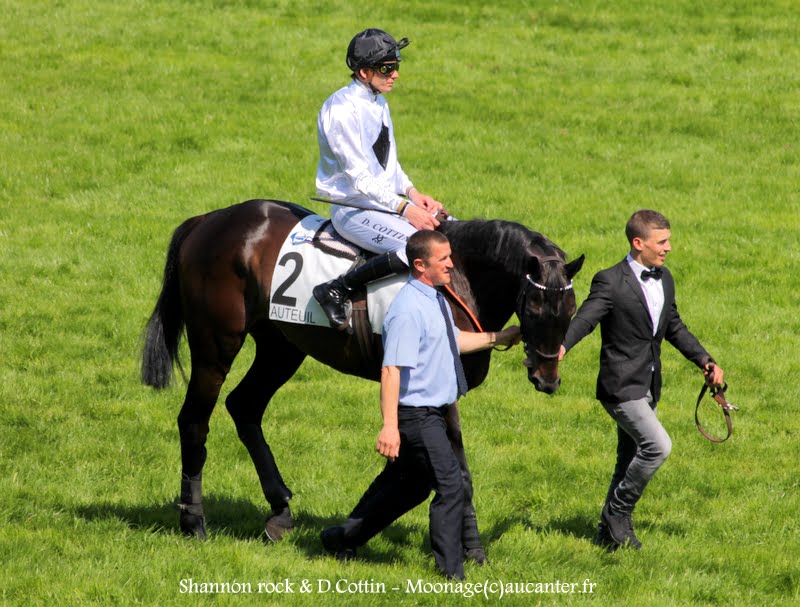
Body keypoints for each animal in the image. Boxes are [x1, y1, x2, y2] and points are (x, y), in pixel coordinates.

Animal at [141, 200, 584, 556]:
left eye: (571, 308)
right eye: (536, 306)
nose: (548, 378)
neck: (458, 281)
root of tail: (208, 220)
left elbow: (412, 469)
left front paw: (353, 528)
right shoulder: (437, 387)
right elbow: (455, 471)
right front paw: (472, 548)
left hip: (281, 345)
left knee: (244, 406)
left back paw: (280, 511)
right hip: (217, 344)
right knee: (194, 419)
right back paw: (193, 522)